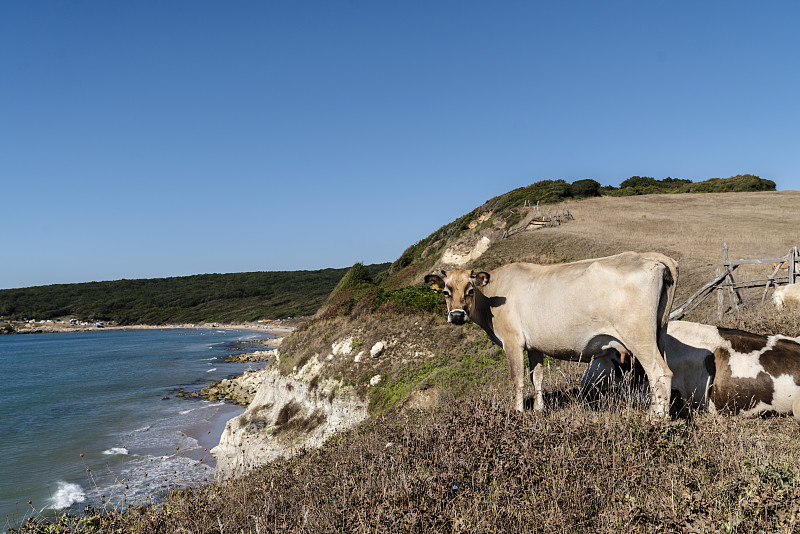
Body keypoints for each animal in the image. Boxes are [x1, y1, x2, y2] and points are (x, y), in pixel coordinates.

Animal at [424, 252, 676, 418]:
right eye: (446, 291)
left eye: (470, 290)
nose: (457, 315)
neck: (492, 298)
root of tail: (652, 257)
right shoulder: (535, 345)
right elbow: (537, 378)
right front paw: (539, 410)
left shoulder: (513, 341)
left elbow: (517, 379)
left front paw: (518, 413)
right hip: (660, 333)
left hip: (638, 335)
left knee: (659, 372)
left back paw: (656, 420)